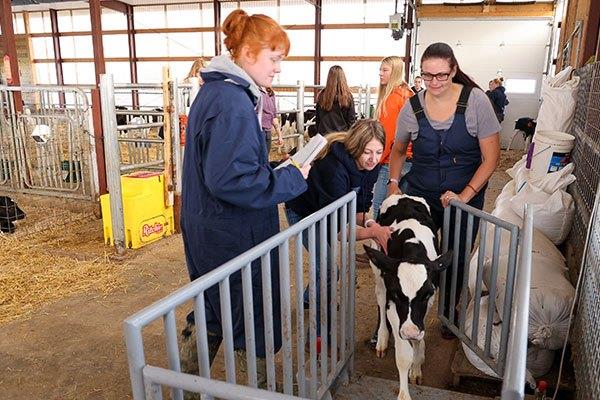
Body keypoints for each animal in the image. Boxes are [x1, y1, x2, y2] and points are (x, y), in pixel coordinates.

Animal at [364, 192, 452, 398]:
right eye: (397, 294)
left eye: (427, 294)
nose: (410, 331)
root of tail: (403, 195)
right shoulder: (393, 304)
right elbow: (404, 356)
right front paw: (404, 394)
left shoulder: (427, 304)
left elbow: (418, 339)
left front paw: (417, 368)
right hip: (378, 267)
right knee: (380, 298)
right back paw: (381, 339)